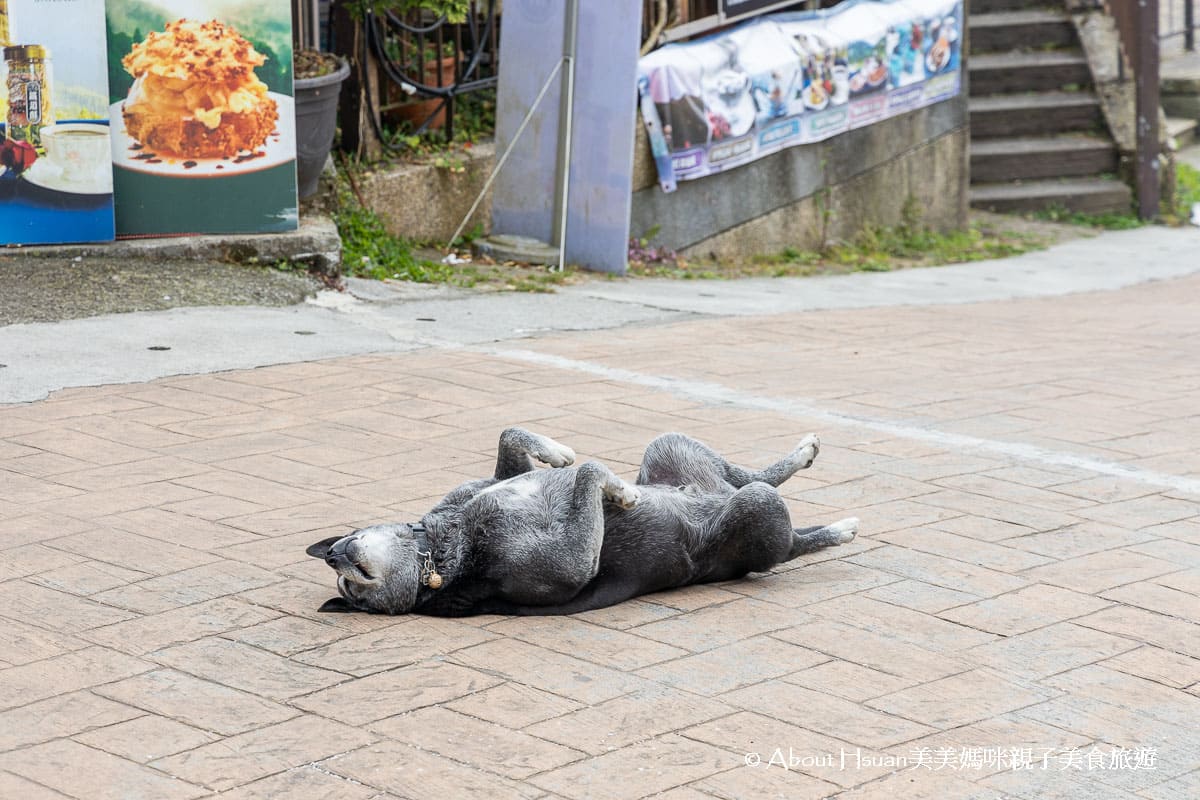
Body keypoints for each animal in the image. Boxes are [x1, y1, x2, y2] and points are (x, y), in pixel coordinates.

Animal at [304, 429, 859, 618]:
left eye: (345, 553)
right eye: (351, 591)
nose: (333, 555)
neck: (438, 550)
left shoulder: (490, 481)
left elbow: (513, 439)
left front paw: (557, 454)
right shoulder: (572, 562)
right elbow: (591, 472)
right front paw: (619, 491)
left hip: (673, 448)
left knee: (751, 475)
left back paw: (803, 452)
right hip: (757, 515)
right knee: (787, 538)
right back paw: (838, 530)